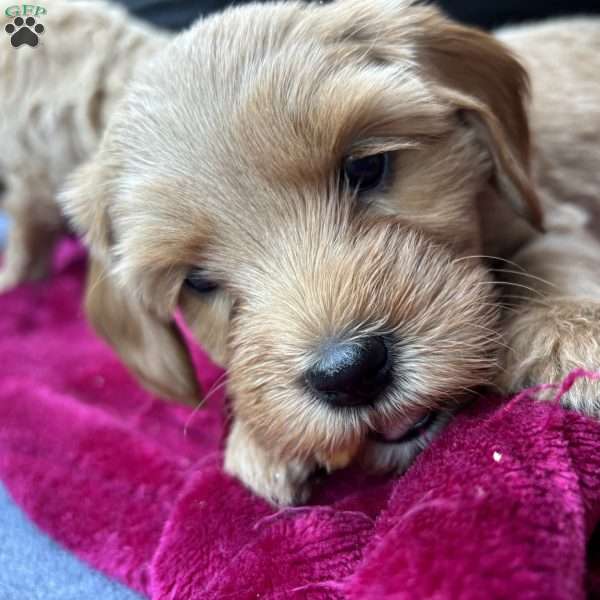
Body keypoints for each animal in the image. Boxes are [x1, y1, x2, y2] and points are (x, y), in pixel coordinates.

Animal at [59, 1, 600, 506]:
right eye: (197, 281)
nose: (348, 374)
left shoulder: (546, 213)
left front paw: (573, 333)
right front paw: (258, 440)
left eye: (366, 167)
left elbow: (552, 261)